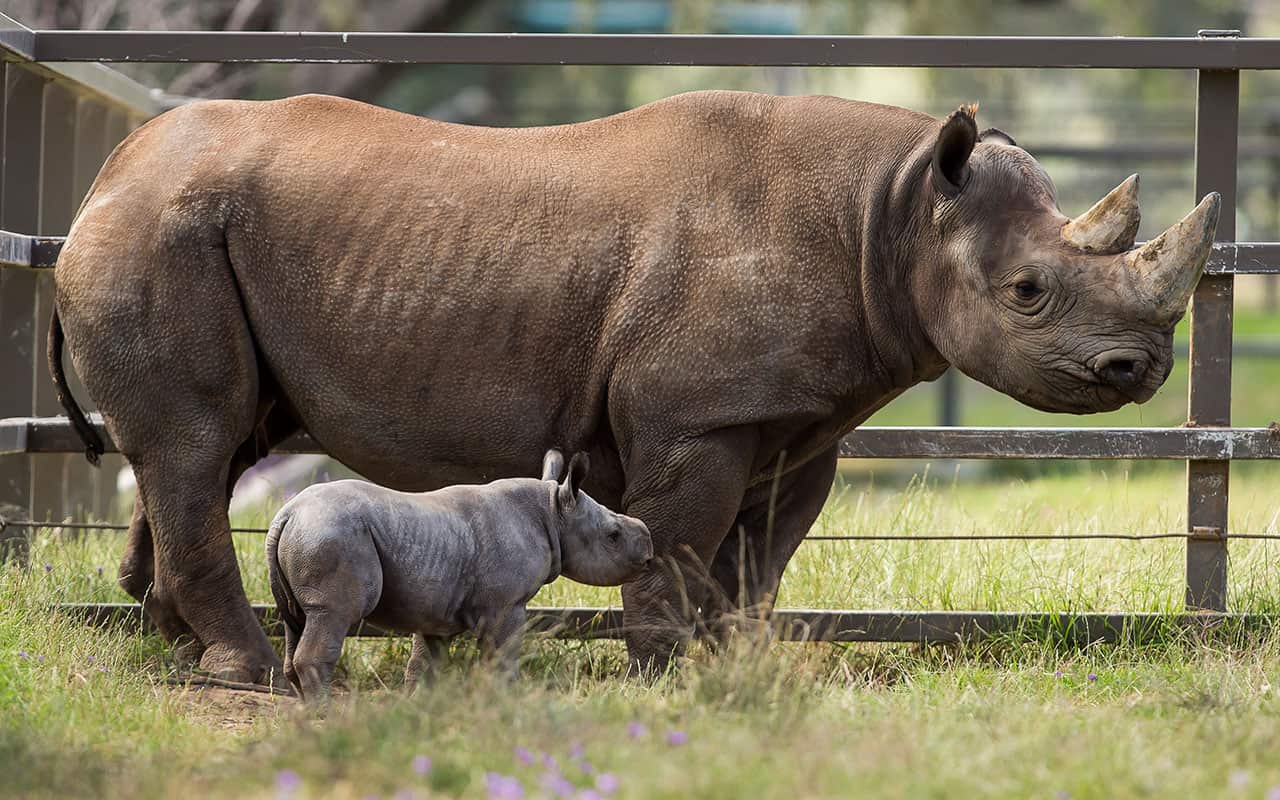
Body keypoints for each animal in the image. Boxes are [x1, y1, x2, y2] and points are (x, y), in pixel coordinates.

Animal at [267, 449, 652, 699]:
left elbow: (424, 664)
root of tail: (286, 514)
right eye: (613, 536)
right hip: (331, 534)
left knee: (295, 620)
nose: (649, 550)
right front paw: (503, 703)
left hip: (313, 534)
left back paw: (305, 714)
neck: (553, 513)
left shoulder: (433, 608)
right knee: (333, 614)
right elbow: (502, 657)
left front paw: (418, 708)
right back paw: (325, 715)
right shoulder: (505, 604)